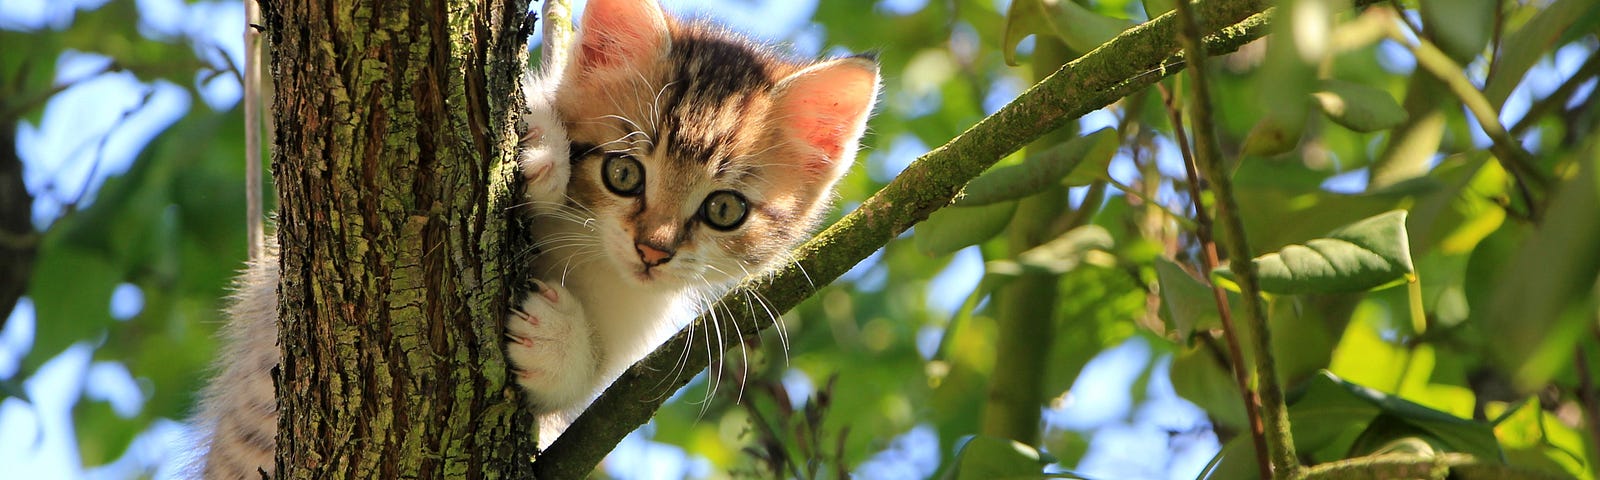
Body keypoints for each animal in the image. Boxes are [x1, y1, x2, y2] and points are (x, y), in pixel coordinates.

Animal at [193, 0, 883, 476]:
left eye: (724, 210)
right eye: (624, 173)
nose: (653, 250)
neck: (592, 256)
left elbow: (585, 391)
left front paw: (555, 342)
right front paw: (540, 144)